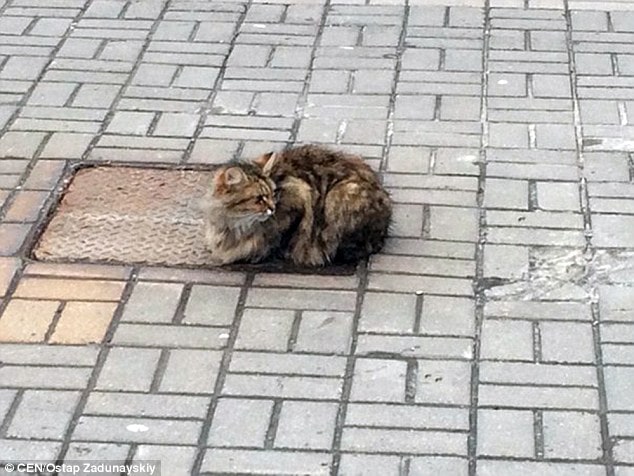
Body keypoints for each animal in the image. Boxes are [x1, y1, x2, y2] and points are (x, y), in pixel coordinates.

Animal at [201, 143, 390, 266]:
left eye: (273, 193)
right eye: (259, 198)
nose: (272, 208)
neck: (236, 224)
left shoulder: (300, 198)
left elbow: (283, 237)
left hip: (340, 196)